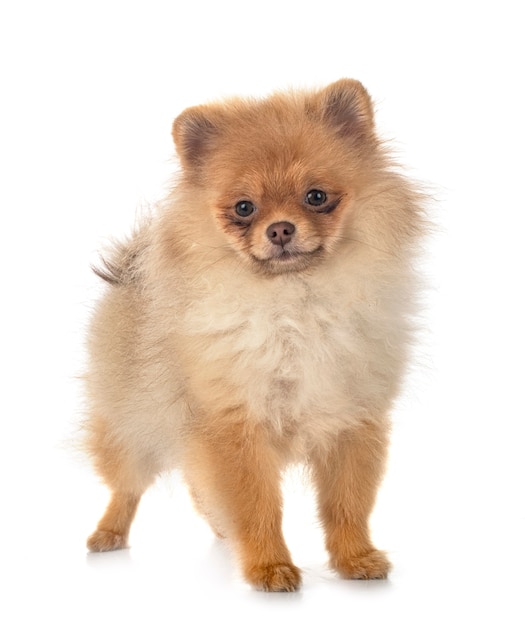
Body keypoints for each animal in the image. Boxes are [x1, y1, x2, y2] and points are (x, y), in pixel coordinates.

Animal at [84, 79, 424, 588]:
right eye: (244, 208)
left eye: (316, 196)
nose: (280, 229)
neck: (294, 305)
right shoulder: (234, 427)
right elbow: (256, 507)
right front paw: (269, 567)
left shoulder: (352, 420)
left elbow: (347, 504)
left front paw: (355, 559)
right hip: (132, 427)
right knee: (126, 486)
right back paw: (109, 534)